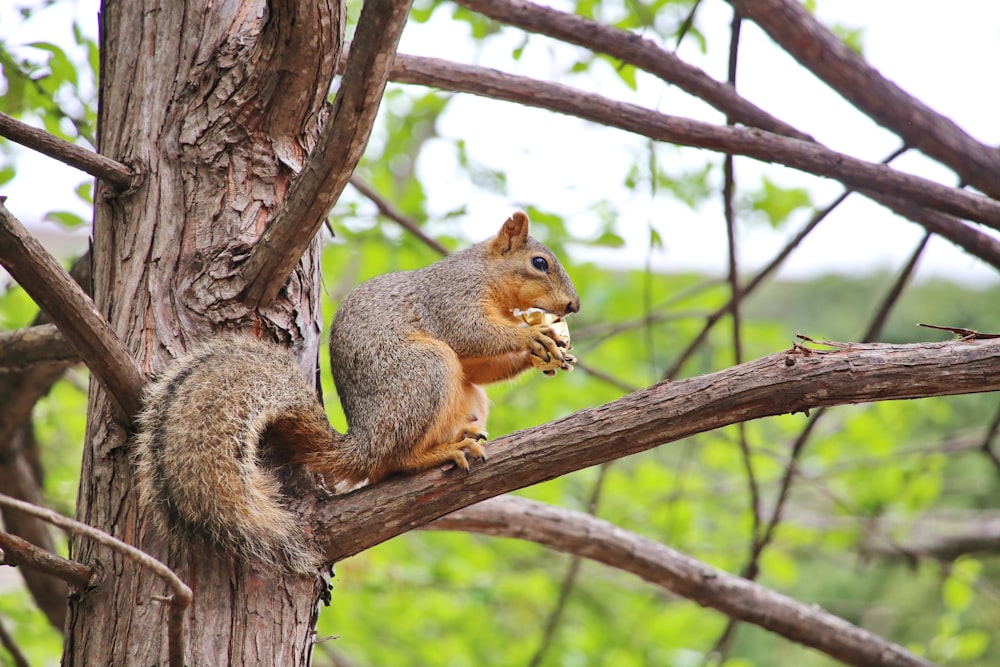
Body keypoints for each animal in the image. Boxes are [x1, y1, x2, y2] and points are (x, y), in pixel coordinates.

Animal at [137, 214, 584, 576]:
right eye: (539, 263)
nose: (573, 305)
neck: (487, 275)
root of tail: (365, 442)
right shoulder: (451, 298)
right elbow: (470, 333)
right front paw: (532, 336)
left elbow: (480, 366)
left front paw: (547, 351)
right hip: (427, 371)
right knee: (395, 462)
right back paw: (438, 453)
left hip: (466, 398)